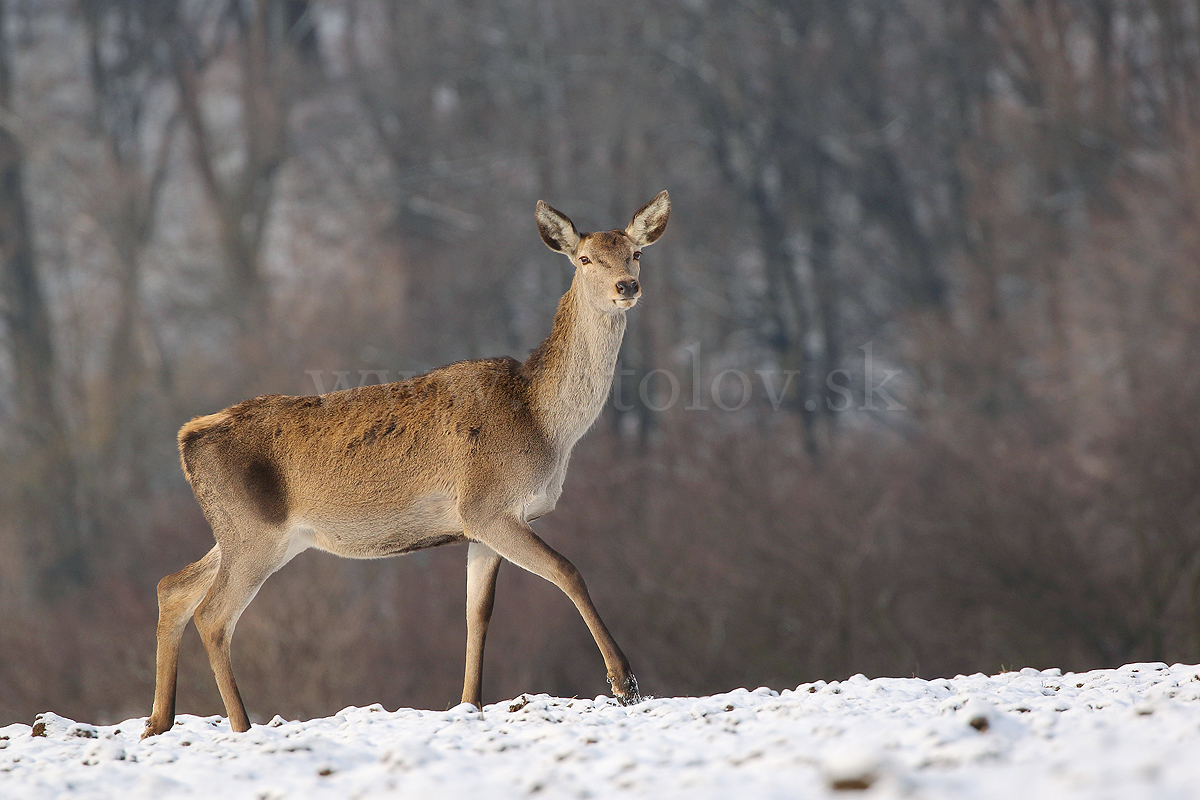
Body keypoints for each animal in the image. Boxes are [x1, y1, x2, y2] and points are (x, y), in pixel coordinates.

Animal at [144, 189, 672, 738]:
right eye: (585, 258)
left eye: (635, 252)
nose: (627, 285)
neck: (545, 426)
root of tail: (187, 439)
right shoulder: (487, 505)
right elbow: (568, 571)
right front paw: (625, 682)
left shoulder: (481, 525)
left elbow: (477, 613)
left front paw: (469, 703)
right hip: (255, 534)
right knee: (213, 615)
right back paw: (242, 725)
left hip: (250, 533)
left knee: (173, 587)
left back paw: (158, 721)